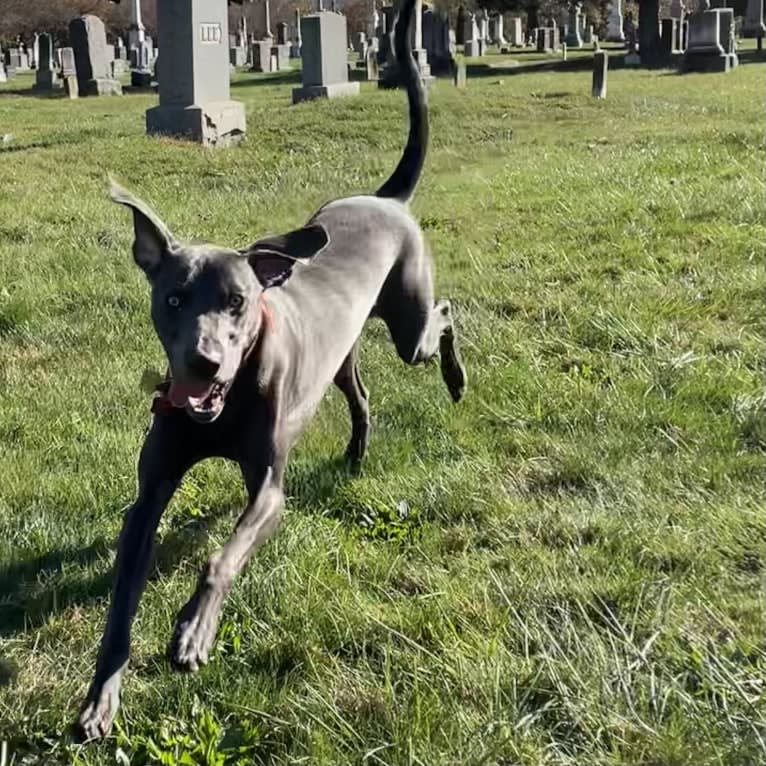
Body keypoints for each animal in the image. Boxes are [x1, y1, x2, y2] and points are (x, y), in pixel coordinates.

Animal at [76, 0, 468, 744]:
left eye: (237, 302)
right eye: (174, 299)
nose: (204, 360)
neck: (222, 407)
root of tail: (384, 199)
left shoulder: (268, 487)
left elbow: (221, 556)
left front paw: (194, 633)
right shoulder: (150, 493)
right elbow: (121, 601)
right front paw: (100, 696)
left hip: (409, 323)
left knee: (445, 314)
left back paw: (457, 378)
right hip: (339, 357)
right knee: (362, 393)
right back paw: (356, 453)